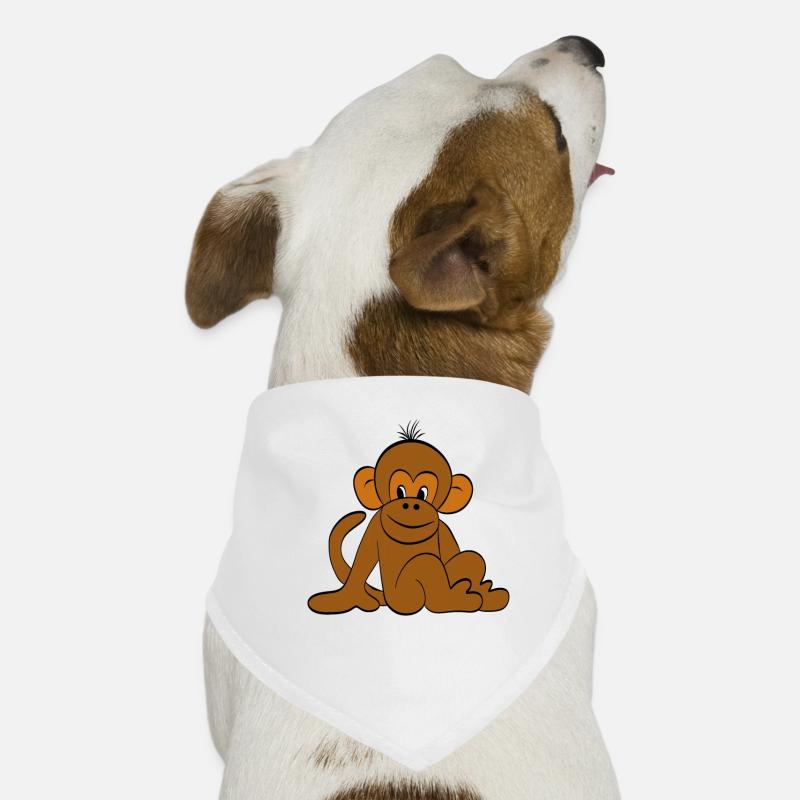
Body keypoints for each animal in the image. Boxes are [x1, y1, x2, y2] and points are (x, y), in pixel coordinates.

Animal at [308, 423, 510, 615]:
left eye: (423, 493)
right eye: (399, 491)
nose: (412, 504)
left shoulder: (443, 529)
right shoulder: (375, 524)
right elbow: (364, 559)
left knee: (472, 559)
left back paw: (485, 595)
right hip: (405, 597)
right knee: (426, 565)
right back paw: (458, 598)